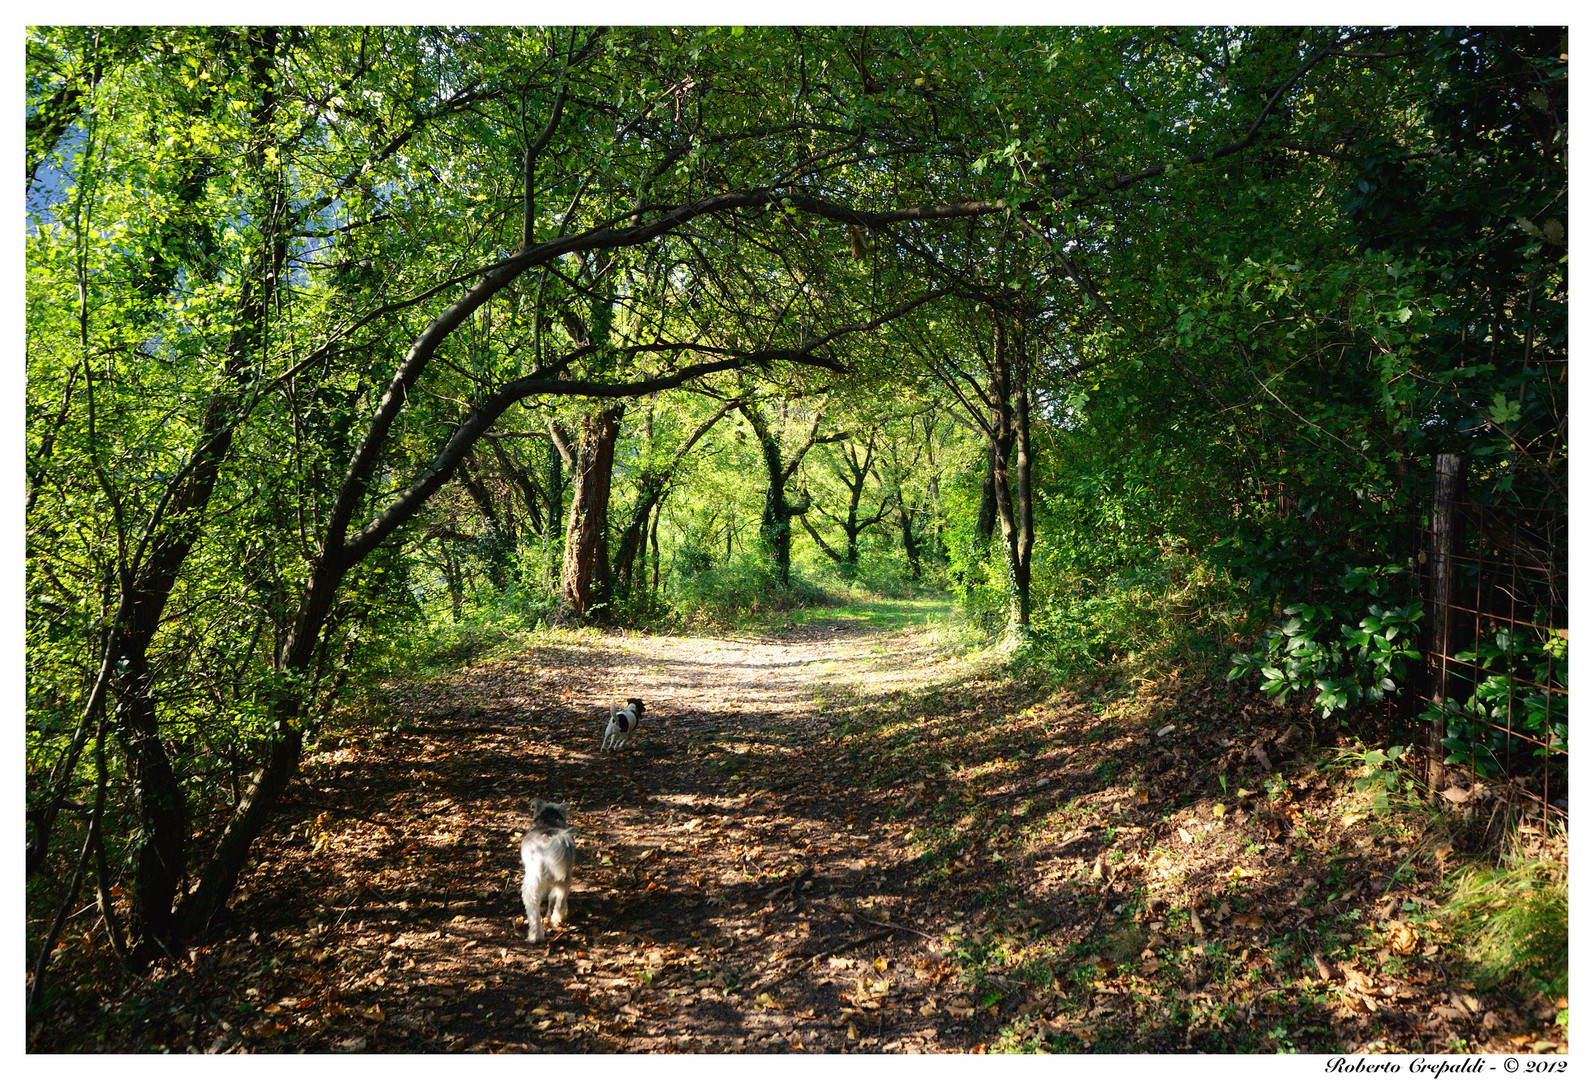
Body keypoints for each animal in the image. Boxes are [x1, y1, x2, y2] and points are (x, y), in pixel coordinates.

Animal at [519, 799, 577, 943]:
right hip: (565, 877)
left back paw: (534, 935)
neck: (549, 818)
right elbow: (553, 896)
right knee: (561, 898)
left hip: (534, 880)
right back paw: (557, 918)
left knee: (533, 906)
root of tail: (550, 839)